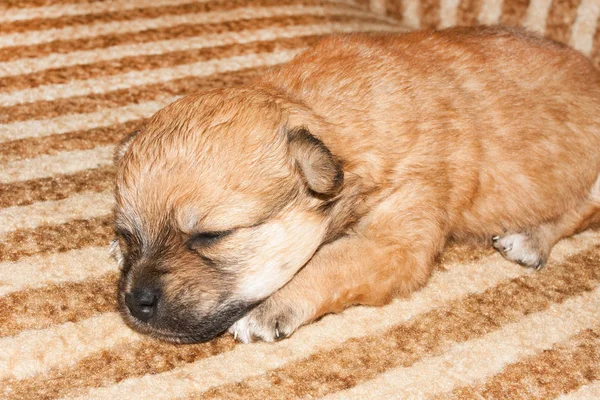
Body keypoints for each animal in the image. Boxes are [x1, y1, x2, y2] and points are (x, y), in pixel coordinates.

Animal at [112, 25, 600, 344]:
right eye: (128, 232)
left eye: (211, 236)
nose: (135, 301)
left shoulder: (397, 240)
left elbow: (328, 263)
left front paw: (269, 308)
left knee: (579, 211)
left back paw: (531, 239)